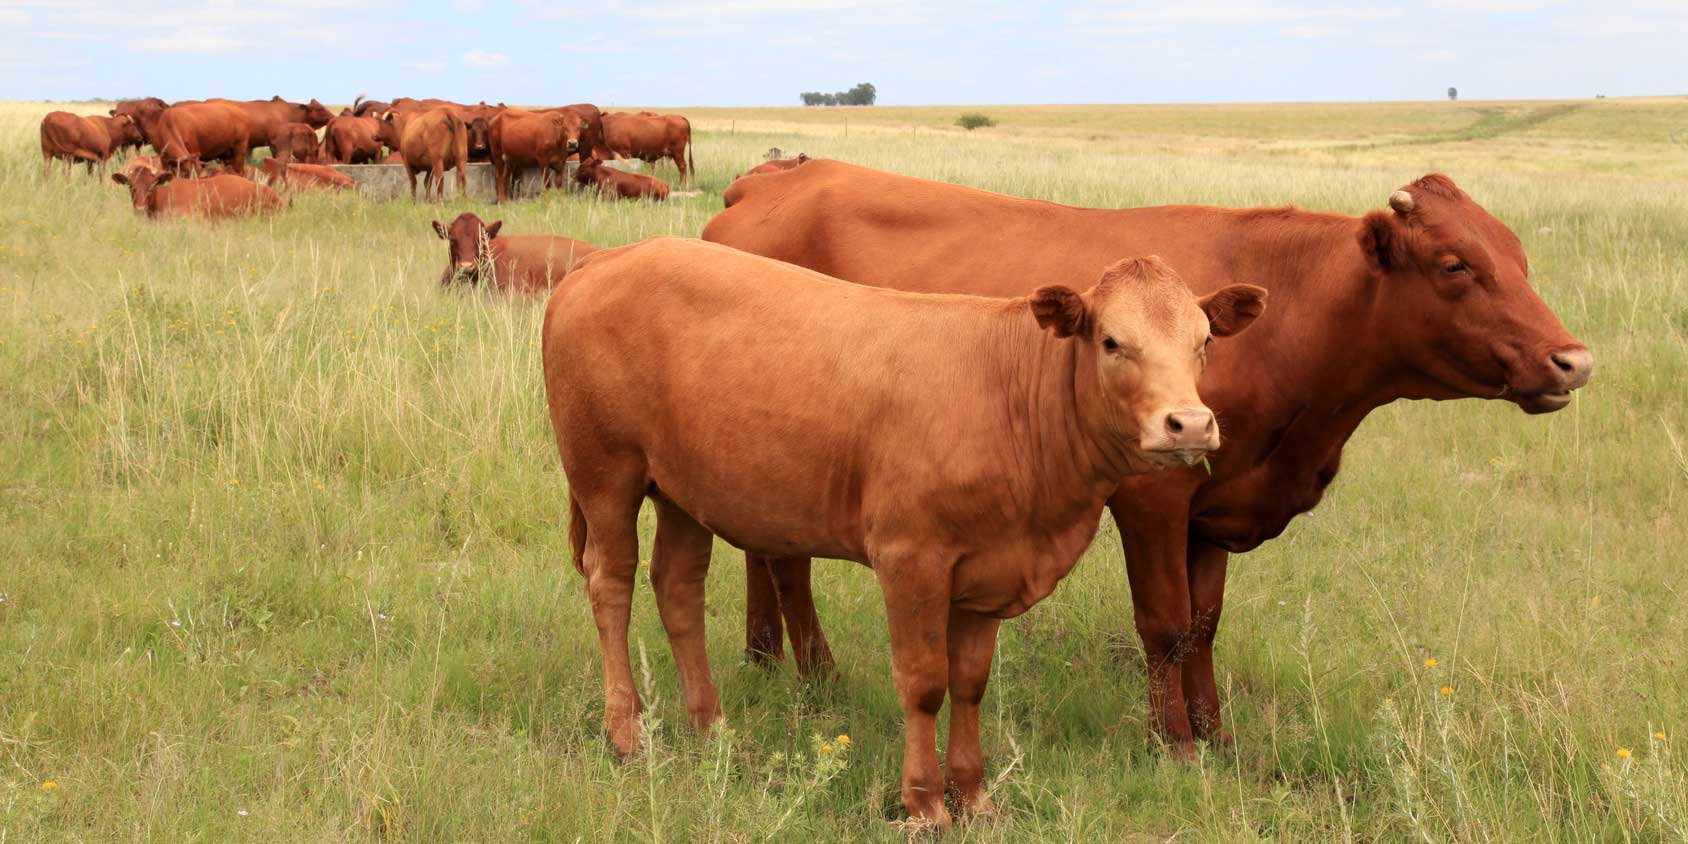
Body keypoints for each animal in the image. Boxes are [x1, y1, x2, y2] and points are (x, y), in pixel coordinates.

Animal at [544, 237, 1264, 827]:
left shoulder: (991, 569)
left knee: (678, 589)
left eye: (1204, 342)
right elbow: (923, 682)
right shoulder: (910, 557)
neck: (1009, 396)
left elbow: (970, 682)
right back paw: (627, 734)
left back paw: (711, 729)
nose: (1190, 424)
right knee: (611, 584)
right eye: (1112, 341)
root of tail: (603, 261)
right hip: (605, 472)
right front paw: (923, 804)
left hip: (684, 492)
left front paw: (974, 798)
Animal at [701, 160, 1596, 759]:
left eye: (1519, 257)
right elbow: (1163, 625)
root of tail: (773, 179)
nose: (1573, 360)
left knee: (766, 553)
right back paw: (818, 676)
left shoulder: (1214, 503)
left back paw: (765, 656)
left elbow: (1203, 625)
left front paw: (1217, 734)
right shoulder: (1151, 498)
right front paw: (1178, 746)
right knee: (787, 563)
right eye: (1455, 265)